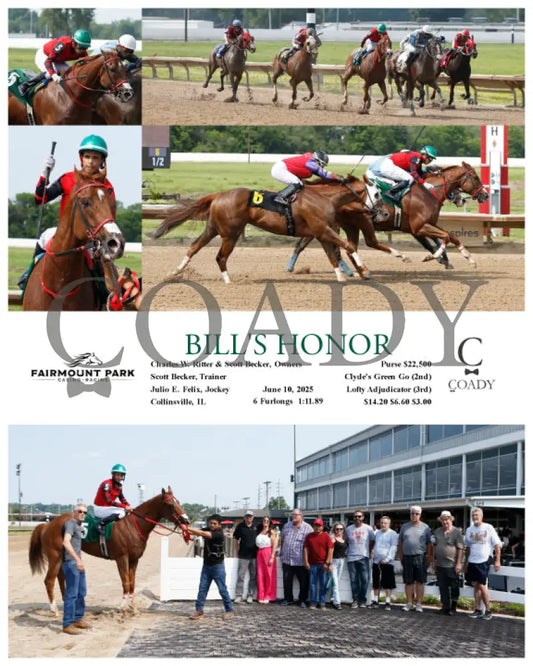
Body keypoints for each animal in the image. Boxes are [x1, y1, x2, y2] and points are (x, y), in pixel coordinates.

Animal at [28, 487, 190, 616]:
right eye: (170, 504)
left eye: (178, 501)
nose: (186, 520)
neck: (133, 526)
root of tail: (47, 524)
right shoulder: (122, 558)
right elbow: (125, 582)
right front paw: (123, 608)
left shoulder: (134, 559)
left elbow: (132, 583)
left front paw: (133, 608)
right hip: (54, 556)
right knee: (49, 581)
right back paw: (54, 610)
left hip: (62, 556)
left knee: (61, 578)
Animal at [150, 176, 377, 283]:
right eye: (374, 191)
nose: (377, 211)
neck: (324, 198)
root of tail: (218, 194)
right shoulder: (322, 230)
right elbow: (348, 246)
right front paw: (364, 270)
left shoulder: (322, 234)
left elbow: (333, 255)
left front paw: (341, 277)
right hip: (230, 234)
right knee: (220, 257)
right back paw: (228, 280)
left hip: (213, 228)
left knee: (194, 247)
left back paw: (175, 272)